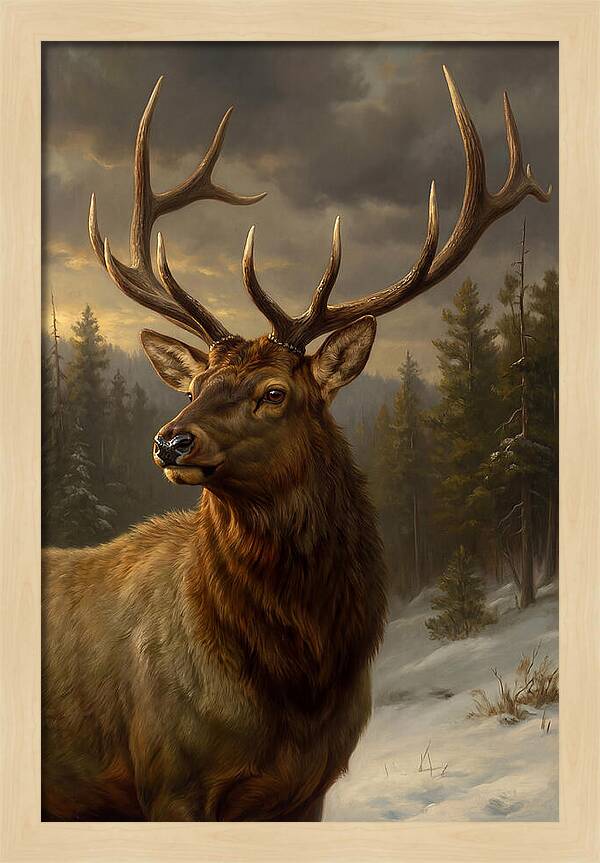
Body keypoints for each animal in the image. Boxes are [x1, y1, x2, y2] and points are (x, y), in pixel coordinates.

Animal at [42, 67, 551, 821]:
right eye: (195, 384)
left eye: (275, 391)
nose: (170, 441)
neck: (297, 685)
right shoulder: (168, 779)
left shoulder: (308, 787)